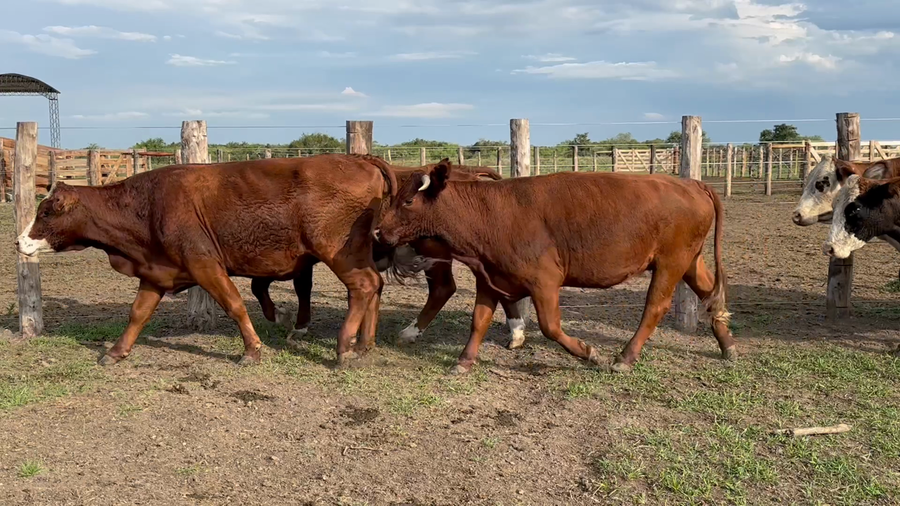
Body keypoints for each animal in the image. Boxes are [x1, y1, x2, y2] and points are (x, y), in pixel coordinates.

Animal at [15, 153, 399, 367]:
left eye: (46, 211)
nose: (19, 241)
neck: (148, 205)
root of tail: (360, 159)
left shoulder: (204, 264)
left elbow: (234, 304)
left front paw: (252, 350)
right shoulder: (155, 272)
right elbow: (138, 313)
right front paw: (115, 351)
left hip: (338, 252)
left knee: (364, 286)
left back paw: (345, 347)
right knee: (375, 287)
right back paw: (364, 344)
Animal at [249, 162, 531, 350]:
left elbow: (283, 286)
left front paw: (292, 322)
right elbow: (268, 284)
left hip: (435, 253)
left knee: (443, 288)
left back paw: (410, 331)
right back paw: (516, 332)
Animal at [373, 159, 735, 374]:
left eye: (408, 201)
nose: (377, 232)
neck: (490, 213)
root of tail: (690, 184)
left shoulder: (544, 282)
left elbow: (550, 326)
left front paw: (587, 352)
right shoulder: (489, 278)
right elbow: (479, 321)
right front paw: (464, 361)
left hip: (670, 262)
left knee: (655, 306)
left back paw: (624, 358)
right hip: (690, 260)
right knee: (710, 294)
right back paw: (728, 345)